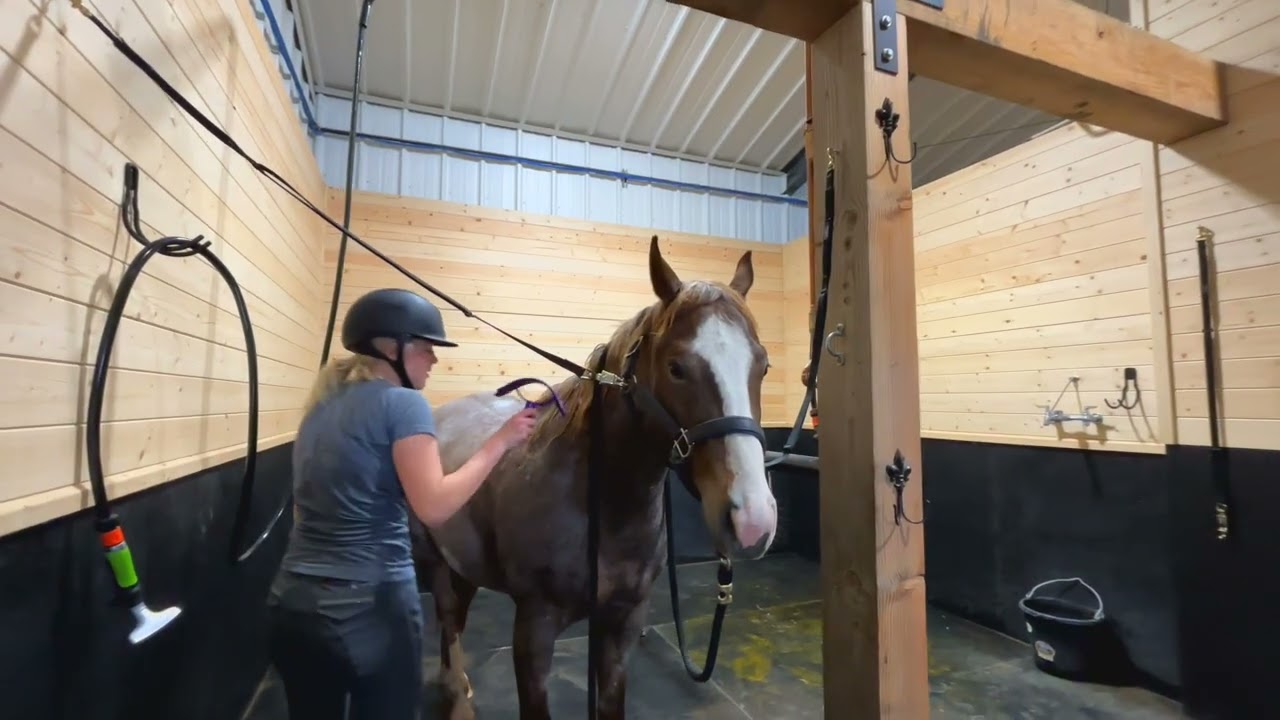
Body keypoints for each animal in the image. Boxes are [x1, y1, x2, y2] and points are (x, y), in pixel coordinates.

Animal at [410, 235, 779, 720]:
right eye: (677, 368)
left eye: (763, 366)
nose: (753, 519)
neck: (598, 508)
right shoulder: (533, 628)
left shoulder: (622, 623)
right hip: (433, 561)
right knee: (449, 618)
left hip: (463, 562)